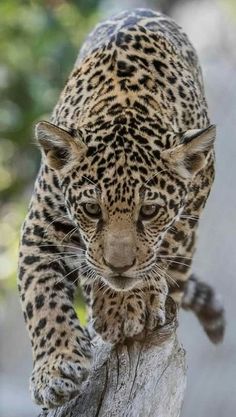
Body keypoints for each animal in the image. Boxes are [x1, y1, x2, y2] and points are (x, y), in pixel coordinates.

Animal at [18, 8, 225, 408]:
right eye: (91, 209)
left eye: (149, 212)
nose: (118, 265)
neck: (125, 103)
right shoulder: (39, 231)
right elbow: (41, 297)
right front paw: (56, 369)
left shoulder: (190, 205)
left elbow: (157, 255)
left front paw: (125, 305)